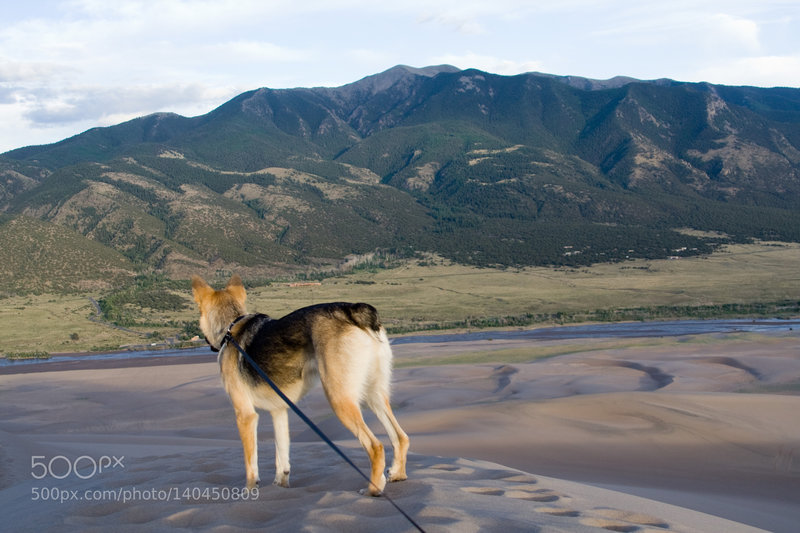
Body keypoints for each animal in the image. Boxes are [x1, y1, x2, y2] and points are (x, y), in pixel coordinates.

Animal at [191, 274, 410, 494]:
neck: (231, 326)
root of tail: (353, 310)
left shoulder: (245, 415)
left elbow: (251, 466)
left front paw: (249, 491)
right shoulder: (279, 411)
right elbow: (282, 458)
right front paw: (280, 486)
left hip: (340, 399)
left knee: (375, 446)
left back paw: (374, 489)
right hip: (374, 396)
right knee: (400, 437)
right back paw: (397, 474)